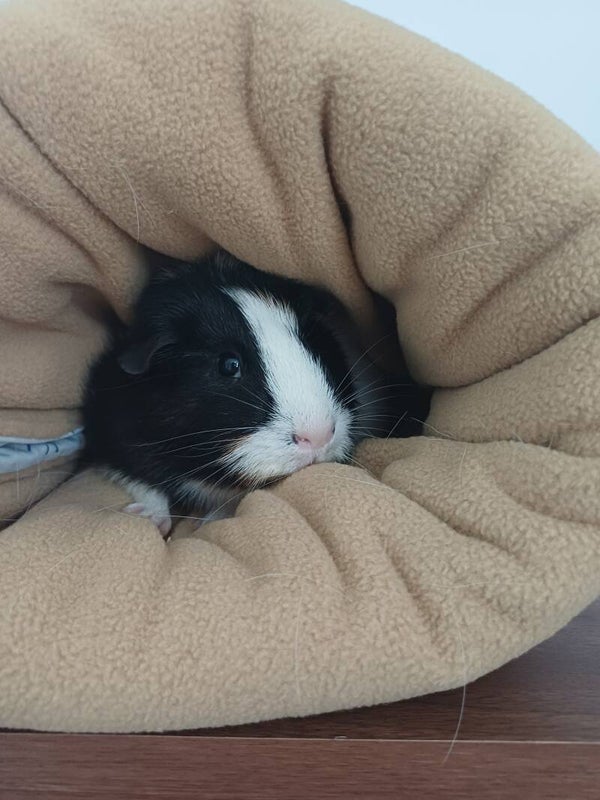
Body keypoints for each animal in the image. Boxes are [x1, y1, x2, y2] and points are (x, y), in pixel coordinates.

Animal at [80, 249, 424, 535]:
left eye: (313, 343)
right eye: (228, 365)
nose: (319, 436)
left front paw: (210, 521)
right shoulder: (108, 433)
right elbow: (140, 480)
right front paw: (147, 519)